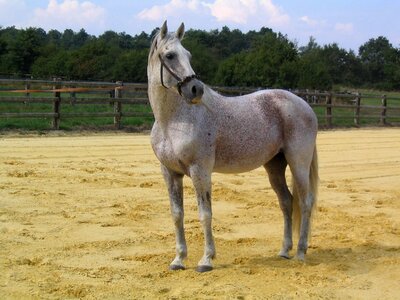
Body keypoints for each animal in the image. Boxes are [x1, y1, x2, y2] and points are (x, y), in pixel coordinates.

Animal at [147, 22, 318, 274]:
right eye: (170, 55)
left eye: (188, 55)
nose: (196, 89)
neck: (174, 121)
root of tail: (305, 105)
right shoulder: (170, 173)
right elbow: (177, 214)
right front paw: (179, 259)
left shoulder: (200, 171)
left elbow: (205, 214)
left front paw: (206, 260)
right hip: (274, 166)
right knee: (287, 202)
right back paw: (284, 251)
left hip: (298, 164)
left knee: (305, 203)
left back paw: (300, 252)